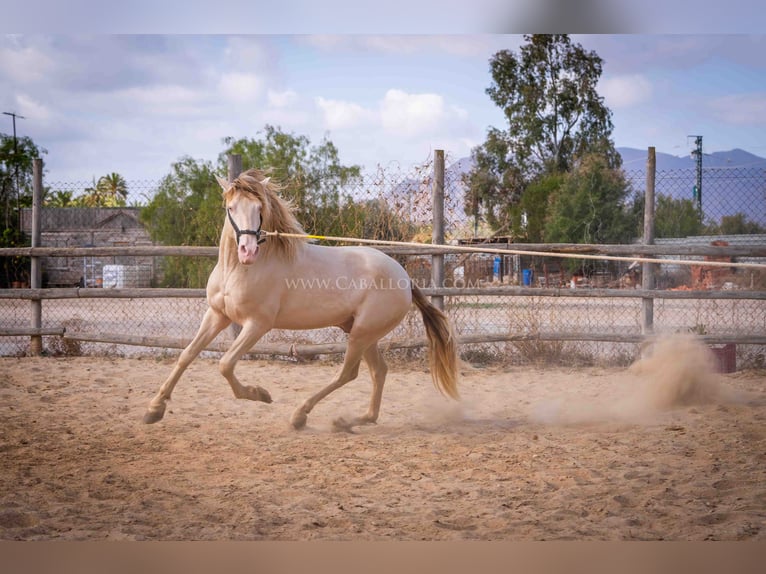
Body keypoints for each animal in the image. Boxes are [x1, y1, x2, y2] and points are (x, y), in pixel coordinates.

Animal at [142, 169, 462, 430]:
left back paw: (301, 415)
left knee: (349, 373)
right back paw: (352, 421)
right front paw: (154, 409)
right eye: (230, 207)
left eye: (259, 208)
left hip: (362, 333)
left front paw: (261, 395)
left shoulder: (257, 324)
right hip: (361, 332)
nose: (247, 251)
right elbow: (186, 355)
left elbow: (225, 364)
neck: (238, 270)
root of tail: (404, 276)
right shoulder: (217, 315)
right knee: (378, 372)